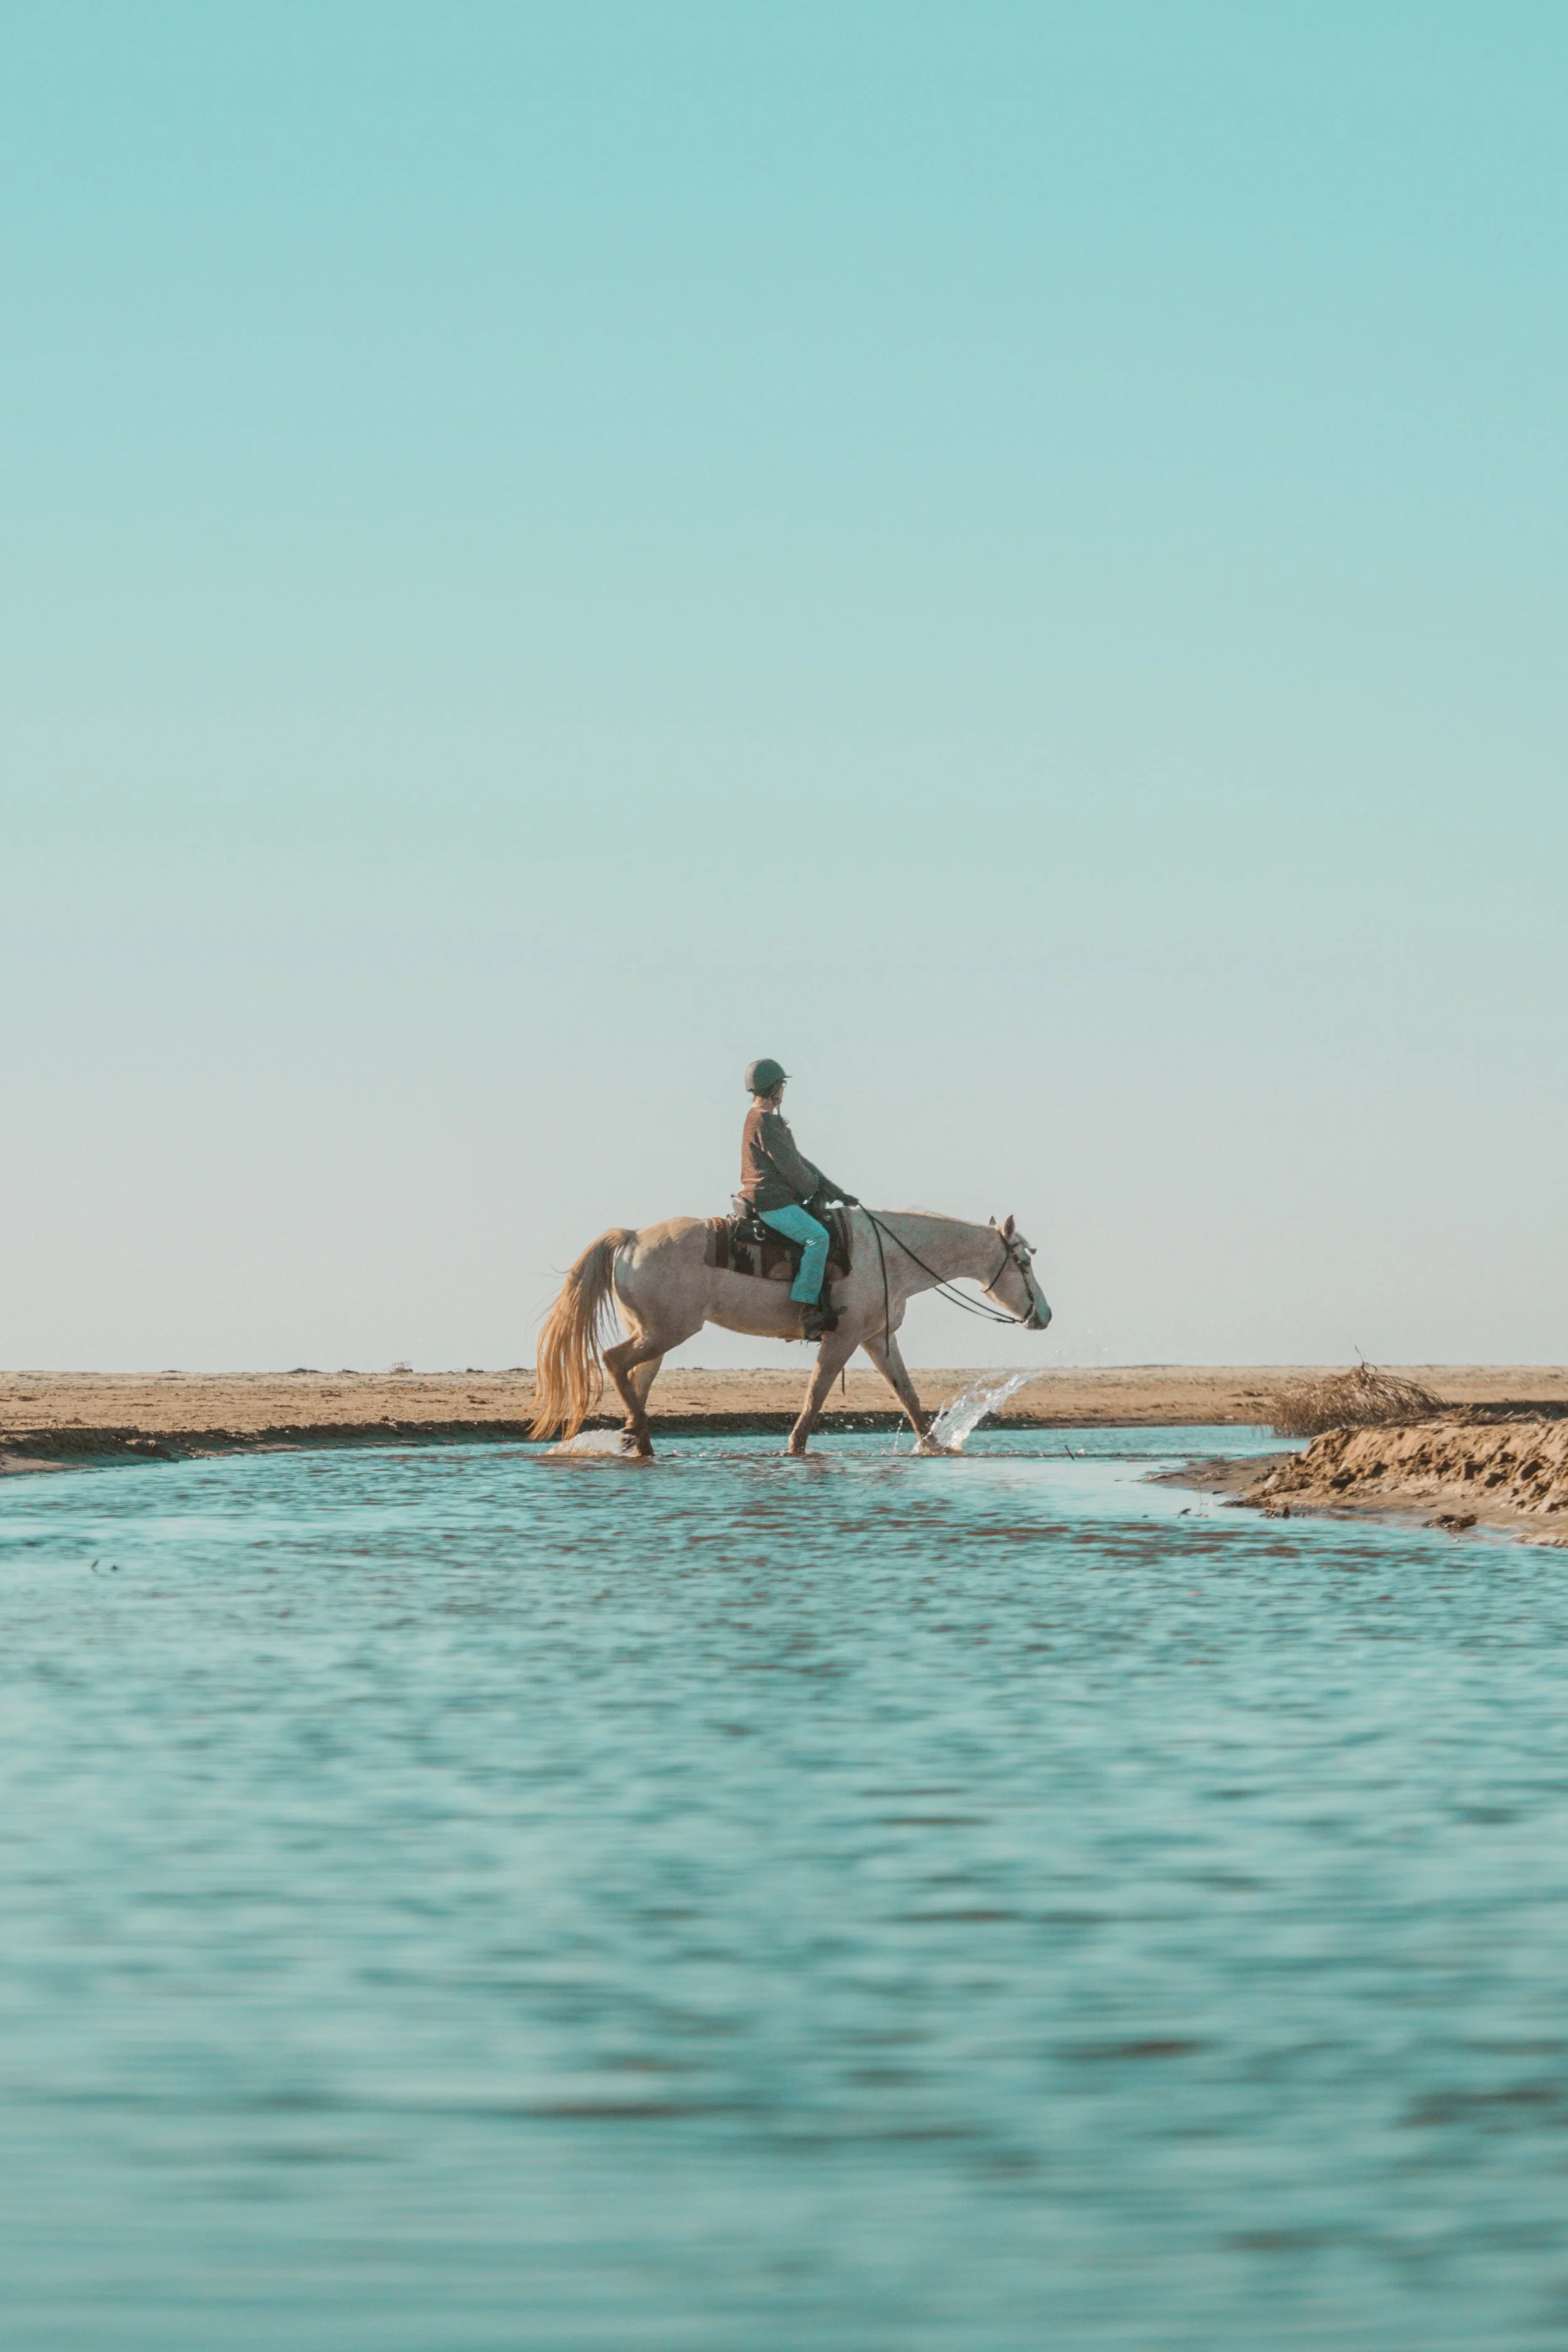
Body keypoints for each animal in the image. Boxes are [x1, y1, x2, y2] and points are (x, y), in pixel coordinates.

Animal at [528, 1207, 1051, 1457]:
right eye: (1023, 1263)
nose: (1044, 1315)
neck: (888, 1255)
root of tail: (632, 1238)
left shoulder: (878, 1338)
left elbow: (907, 1393)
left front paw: (935, 1446)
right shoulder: (843, 1339)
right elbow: (816, 1394)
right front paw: (795, 1448)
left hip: (655, 1336)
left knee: (635, 1379)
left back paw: (636, 1441)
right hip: (667, 1332)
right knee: (615, 1362)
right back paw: (641, 1438)